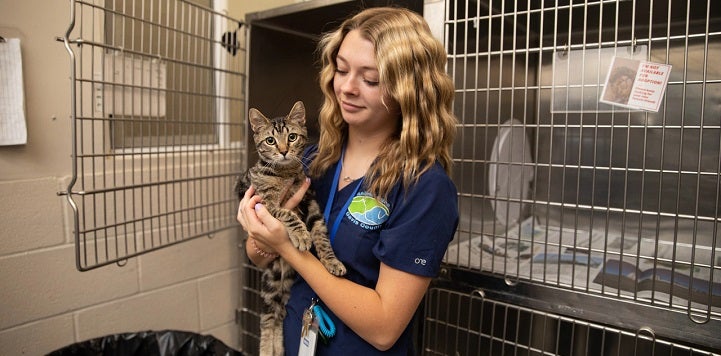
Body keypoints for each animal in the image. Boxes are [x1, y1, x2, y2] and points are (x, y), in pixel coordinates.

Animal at [235, 100, 348, 356]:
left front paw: (331, 261)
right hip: (270, 281)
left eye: (292, 137)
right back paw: (267, 349)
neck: (284, 172)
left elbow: (321, 234)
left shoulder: (311, 203)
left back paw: (279, 347)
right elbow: (288, 214)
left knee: (280, 314)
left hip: (284, 280)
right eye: (270, 140)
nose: (284, 150)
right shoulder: (263, 203)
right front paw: (301, 235)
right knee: (268, 317)